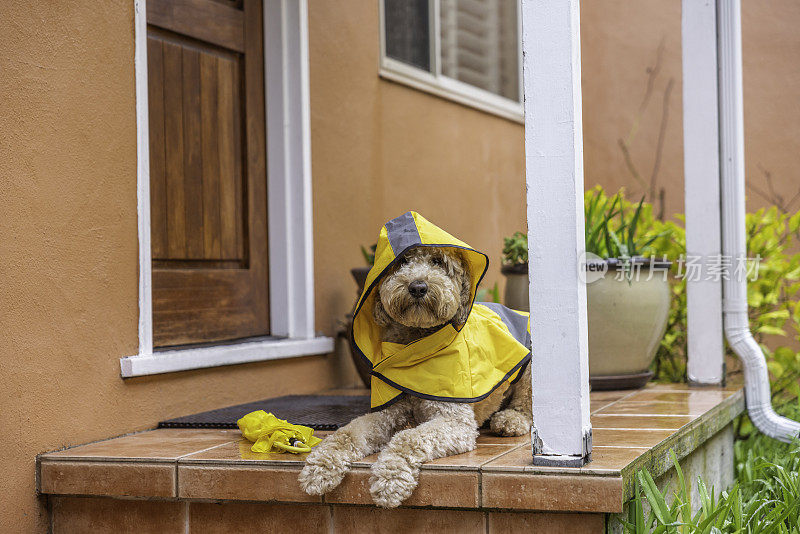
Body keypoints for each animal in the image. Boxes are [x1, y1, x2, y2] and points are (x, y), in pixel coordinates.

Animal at [300, 214, 532, 510]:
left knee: (527, 405)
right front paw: (319, 466)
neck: (415, 345)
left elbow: (408, 437)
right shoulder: (387, 413)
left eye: (438, 262)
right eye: (402, 262)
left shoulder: (453, 421)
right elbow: (347, 432)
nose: (418, 287)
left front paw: (390, 479)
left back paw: (509, 420)